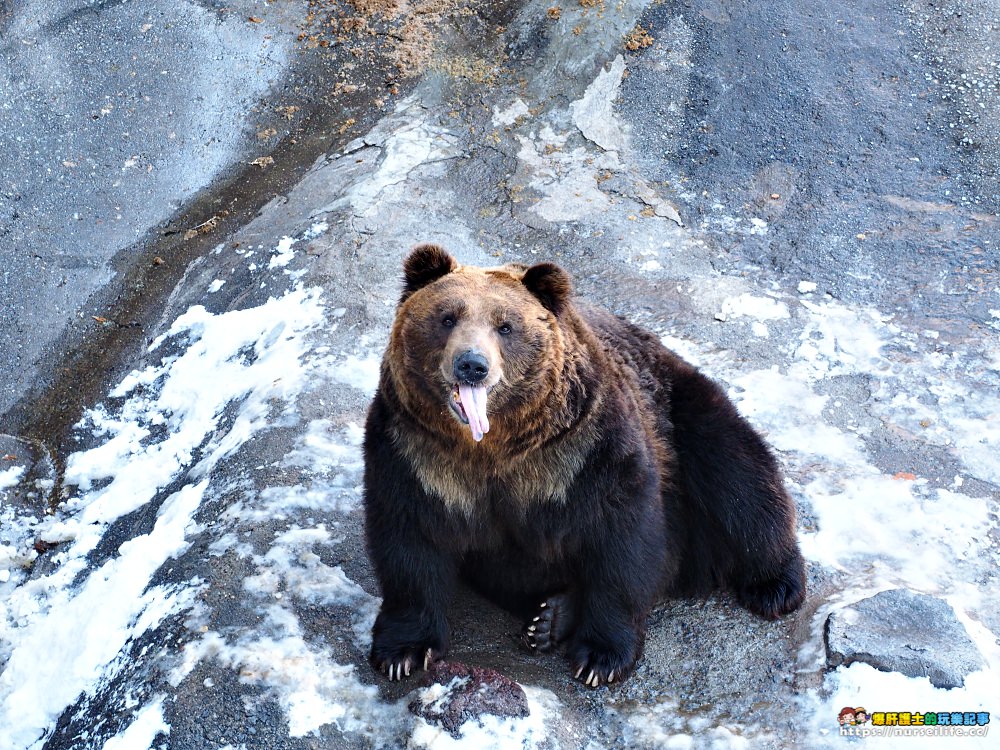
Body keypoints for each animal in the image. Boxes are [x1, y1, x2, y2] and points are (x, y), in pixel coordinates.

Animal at [364, 245, 808, 688]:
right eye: (447, 317)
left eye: (505, 326)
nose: (472, 364)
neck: (492, 445)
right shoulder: (418, 456)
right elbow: (410, 539)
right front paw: (402, 651)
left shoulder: (585, 451)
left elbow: (621, 537)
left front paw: (601, 656)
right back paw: (550, 618)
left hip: (683, 413)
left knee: (736, 478)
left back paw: (776, 584)